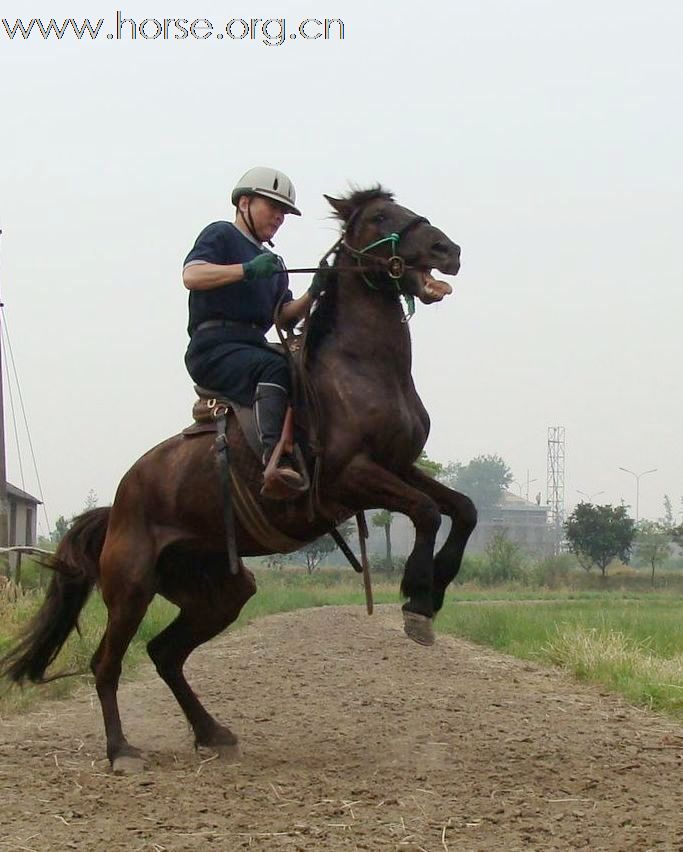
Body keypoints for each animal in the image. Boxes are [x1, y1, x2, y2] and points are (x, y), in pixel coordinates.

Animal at [0, 186, 478, 772]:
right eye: (381, 216)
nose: (447, 250)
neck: (361, 368)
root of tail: (119, 502)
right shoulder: (351, 477)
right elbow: (429, 512)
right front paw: (416, 601)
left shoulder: (398, 467)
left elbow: (462, 509)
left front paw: (436, 589)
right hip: (131, 587)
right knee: (106, 663)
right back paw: (122, 751)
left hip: (219, 589)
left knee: (164, 653)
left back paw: (211, 732)